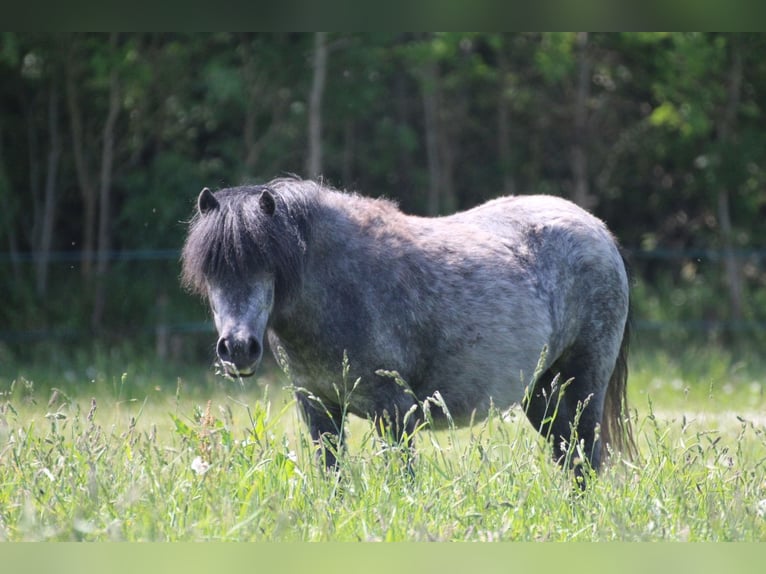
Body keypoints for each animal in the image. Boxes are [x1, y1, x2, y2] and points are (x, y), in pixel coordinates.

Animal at [182, 179, 636, 482]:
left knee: (585, 457)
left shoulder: (395, 414)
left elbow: (403, 480)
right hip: (542, 395)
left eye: (266, 266)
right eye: (211, 271)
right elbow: (334, 478)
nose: (238, 349)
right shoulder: (318, 409)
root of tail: (598, 230)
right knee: (569, 456)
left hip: (582, 386)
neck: (342, 288)